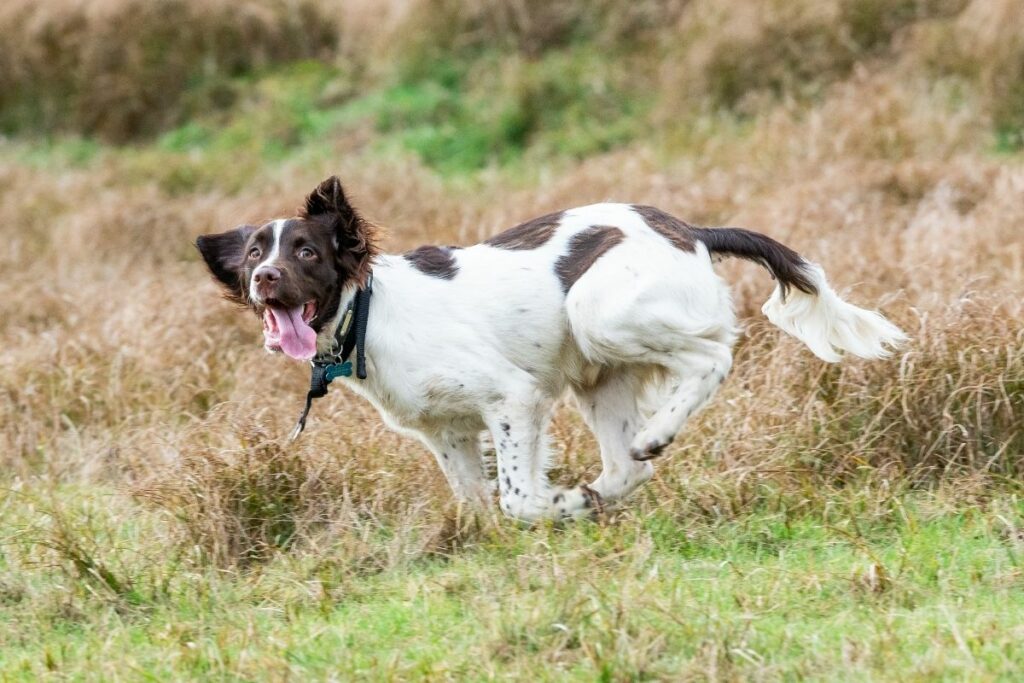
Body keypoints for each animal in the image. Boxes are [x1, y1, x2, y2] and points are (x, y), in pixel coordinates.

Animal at [197, 178, 905, 524]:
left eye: (306, 252)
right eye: (255, 255)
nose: (265, 280)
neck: (368, 314)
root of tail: (688, 229)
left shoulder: (511, 397)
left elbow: (517, 499)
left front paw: (555, 505)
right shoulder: (447, 431)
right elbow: (479, 505)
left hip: (597, 313)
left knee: (714, 357)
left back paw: (652, 438)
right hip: (600, 378)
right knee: (625, 469)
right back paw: (604, 489)